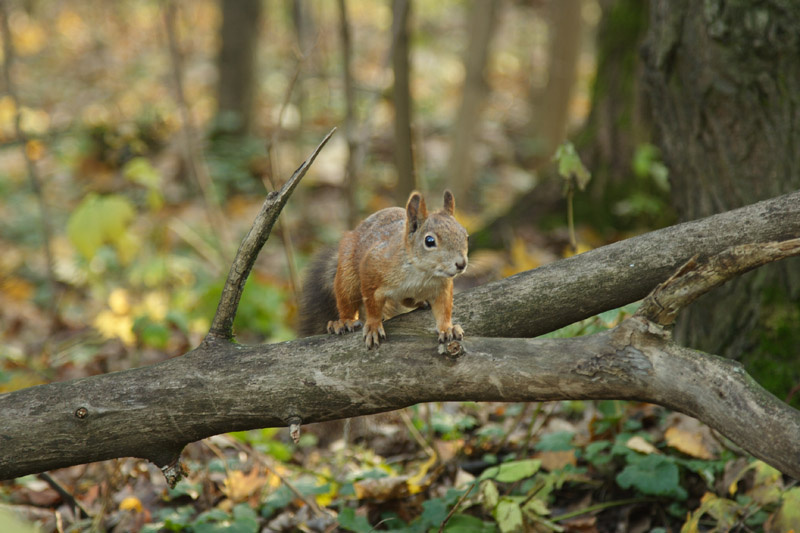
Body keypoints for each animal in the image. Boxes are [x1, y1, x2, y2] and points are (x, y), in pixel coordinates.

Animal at [298, 190, 469, 348]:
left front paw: (447, 328)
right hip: (347, 275)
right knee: (346, 299)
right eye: (429, 241)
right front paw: (373, 326)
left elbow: (444, 309)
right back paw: (344, 322)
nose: (461, 264)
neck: (421, 274)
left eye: (466, 235)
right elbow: (372, 305)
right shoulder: (372, 268)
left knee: (406, 299)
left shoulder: (442, 287)